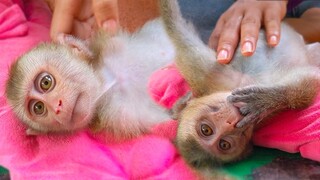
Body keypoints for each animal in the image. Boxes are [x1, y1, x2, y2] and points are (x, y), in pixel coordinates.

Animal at [5, 19, 174, 140]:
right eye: (39, 107)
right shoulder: (122, 114)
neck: (113, 81)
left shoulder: (112, 45)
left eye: (46, 82)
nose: (57, 107)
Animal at [159, 0, 320, 169]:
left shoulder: (206, 73)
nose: (230, 123)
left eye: (205, 130)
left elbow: (174, 26)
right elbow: (307, 80)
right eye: (224, 144)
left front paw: (263, 100)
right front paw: (269, 100)